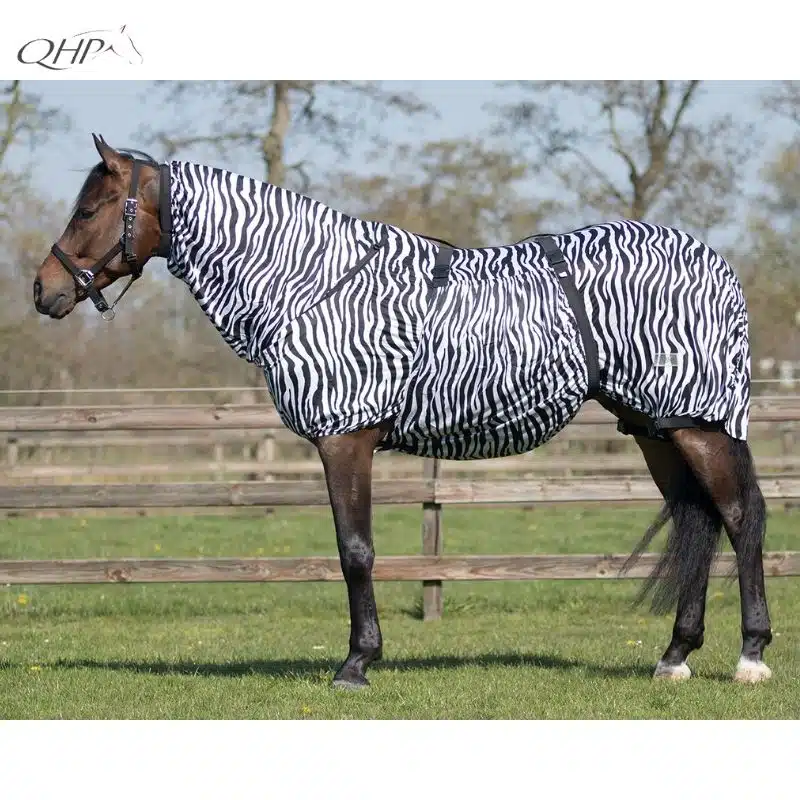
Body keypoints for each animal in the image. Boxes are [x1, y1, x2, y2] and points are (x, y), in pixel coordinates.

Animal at [33, 134, 773, 689]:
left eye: (90, 209)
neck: (309, 283)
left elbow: (355, 550)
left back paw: (751, 655)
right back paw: (674, 657)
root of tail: (718, 265)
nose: (42, 290)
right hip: (657, 429)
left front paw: (357, 662)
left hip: (699, 425)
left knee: (739, 519)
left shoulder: (345, 439)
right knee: (699, 519)